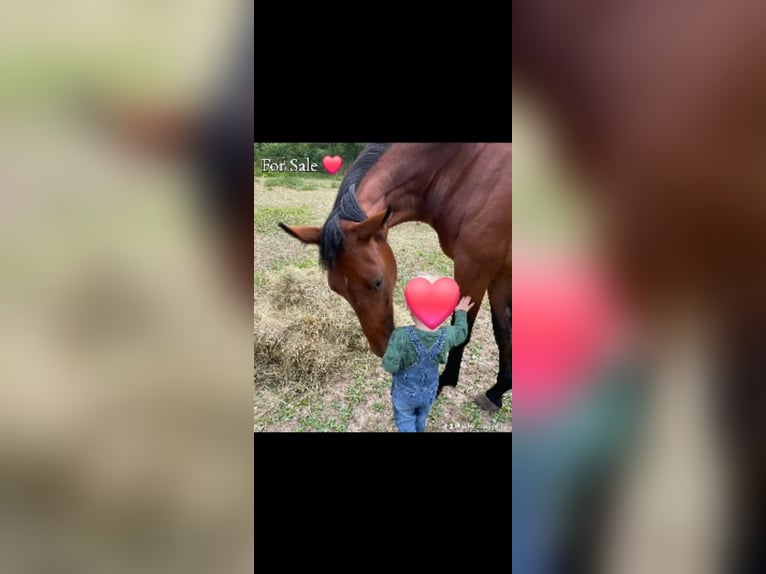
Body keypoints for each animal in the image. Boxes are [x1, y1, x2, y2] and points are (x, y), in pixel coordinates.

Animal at [279, 143, 512, 409]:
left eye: (378, 281)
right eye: (337, 289)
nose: (381, 348)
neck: (466, 170)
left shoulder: (474, 269)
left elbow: (463, 331)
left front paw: (442, 384)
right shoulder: (499, 273)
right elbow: (503, 330)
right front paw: (498, 390)